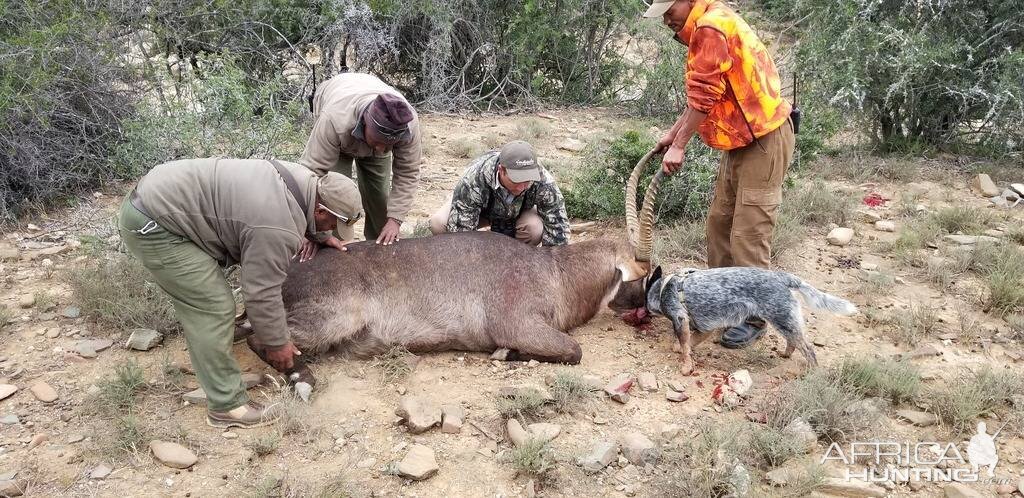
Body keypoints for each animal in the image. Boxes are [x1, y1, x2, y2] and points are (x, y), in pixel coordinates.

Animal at [630, 264, 856, 372]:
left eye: (641, 298)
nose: (639, 310)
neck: (663, 289)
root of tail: (782, 276)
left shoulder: (680, 318)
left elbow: (685, 346)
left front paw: (686, 365)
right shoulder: (705, 327)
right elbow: (689, 342)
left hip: (782, 318)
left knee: (808, 350)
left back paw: (812, 371)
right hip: (785, 319)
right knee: (794, 342)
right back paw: (785, 354)